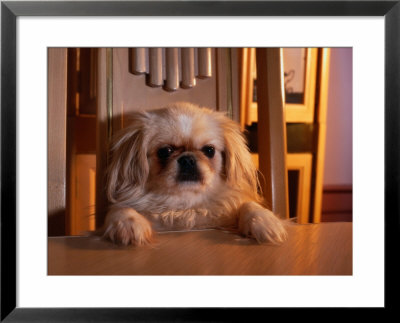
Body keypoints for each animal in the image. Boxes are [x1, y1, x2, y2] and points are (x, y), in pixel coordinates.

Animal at [101, 102, 286, 247]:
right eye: (165, 151)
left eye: (209, 150)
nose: (188, 159)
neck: (186, 204)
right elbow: (120, 208)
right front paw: (129, 224)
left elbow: (248, 204)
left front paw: (265, 221)